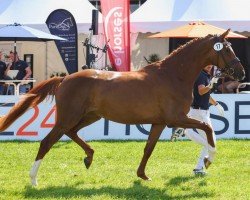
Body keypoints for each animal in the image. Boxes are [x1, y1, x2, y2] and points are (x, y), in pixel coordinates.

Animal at [0, 28, 245, 185]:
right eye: (227, 49)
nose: (241, 73)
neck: (173, 75)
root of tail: (64, 79)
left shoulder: (159, 122)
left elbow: (148, 148)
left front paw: (143, 175)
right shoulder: (176, 118)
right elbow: (209, 129)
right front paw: (208, 160)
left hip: (90, 116)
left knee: (72, 133)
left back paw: (89, 157)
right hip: (68, 117)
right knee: (47, 142)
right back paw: (33, 180)